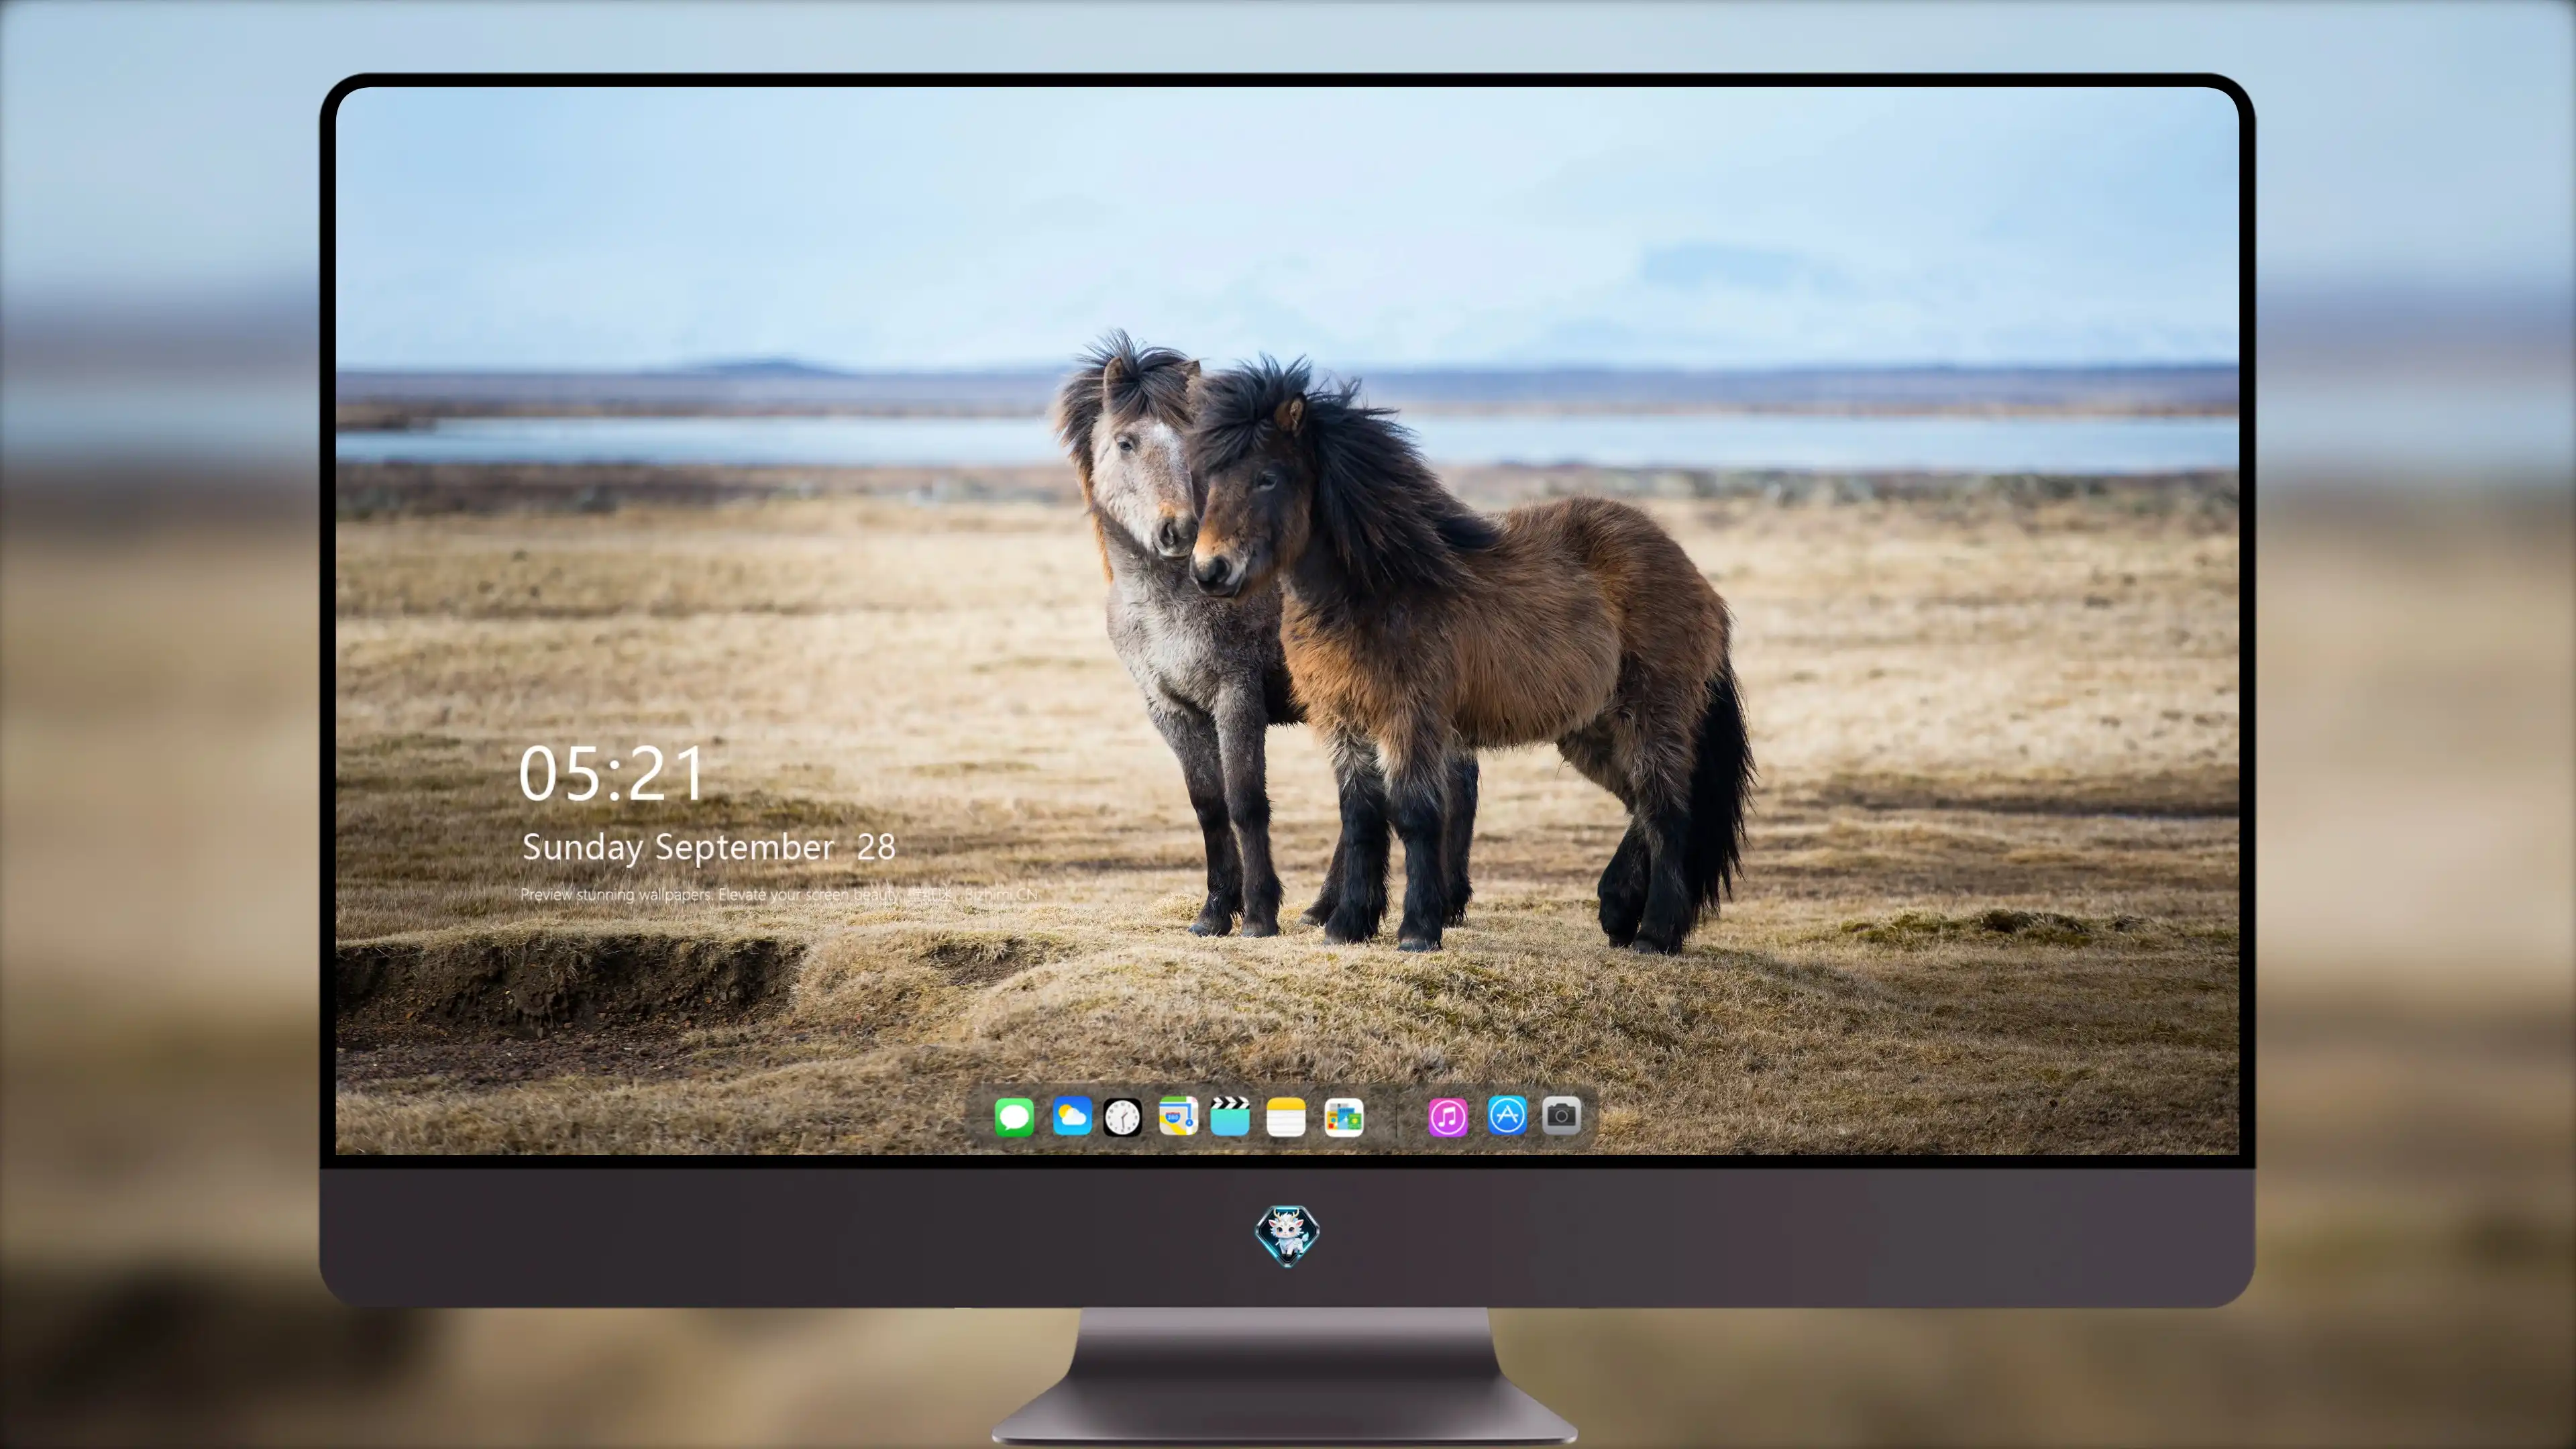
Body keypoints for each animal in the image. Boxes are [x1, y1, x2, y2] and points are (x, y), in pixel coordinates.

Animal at [1184, 358, 1754, 954]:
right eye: (1211, 478)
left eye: (1268, 476)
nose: (1210, 570)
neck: (1379, 587)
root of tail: (1697, 580)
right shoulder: (1344, 720)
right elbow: (1360, 817)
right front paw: (1348, 926)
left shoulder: (1411, 719)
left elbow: (1414, 815)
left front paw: (1417, 931)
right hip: (1591, 730)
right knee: (1641, 804)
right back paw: (1618, 909)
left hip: (1651, 716)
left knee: (1668, 811)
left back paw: (1655, 932)